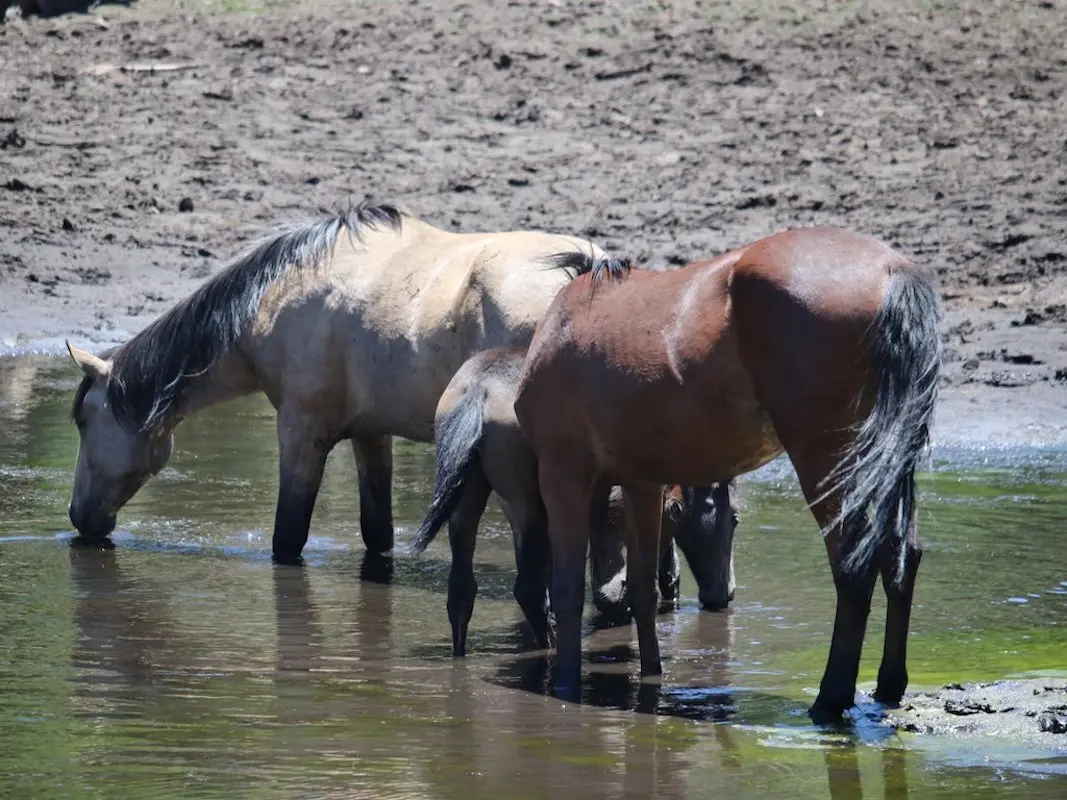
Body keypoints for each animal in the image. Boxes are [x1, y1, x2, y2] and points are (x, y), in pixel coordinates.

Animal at [62, 203, 606, 558]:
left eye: (84, 420)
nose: (78, 518)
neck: (274, 297)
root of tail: (585, 269)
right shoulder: (371, 434)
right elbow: (377, 533)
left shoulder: (301, 433)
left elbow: (288, 538)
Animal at [403, 349, 738, 657]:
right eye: (735, 518)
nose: (725, 592)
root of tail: (478, 390)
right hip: (530, 504)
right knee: (528, 590)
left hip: (469, 497)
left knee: (462, 591)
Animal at [516, 227, 943, 725]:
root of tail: (892, 271)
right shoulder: (643, 482)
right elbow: (643, 588)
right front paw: (651, 681)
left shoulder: (563, 472)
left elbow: (566, 590)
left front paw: (563, 686)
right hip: (886, 464)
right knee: (901, 557)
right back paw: (888, 686)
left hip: (827, 462)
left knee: (853, 567)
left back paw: (830, 700)